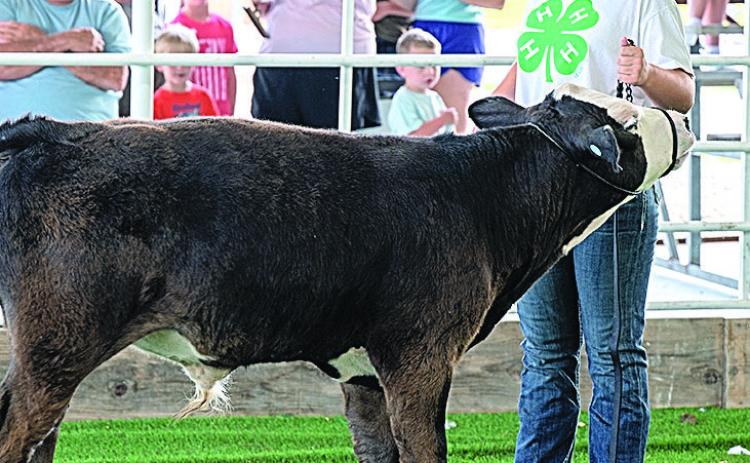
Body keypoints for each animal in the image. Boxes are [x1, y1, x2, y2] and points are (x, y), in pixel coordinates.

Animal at [0, 83, 694, 463]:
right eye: (626, 124)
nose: (685, 117)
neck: (481, 196)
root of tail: (48, 132)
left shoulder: (363, 372)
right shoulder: (420, 355)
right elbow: (423, 448)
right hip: (56, 345)